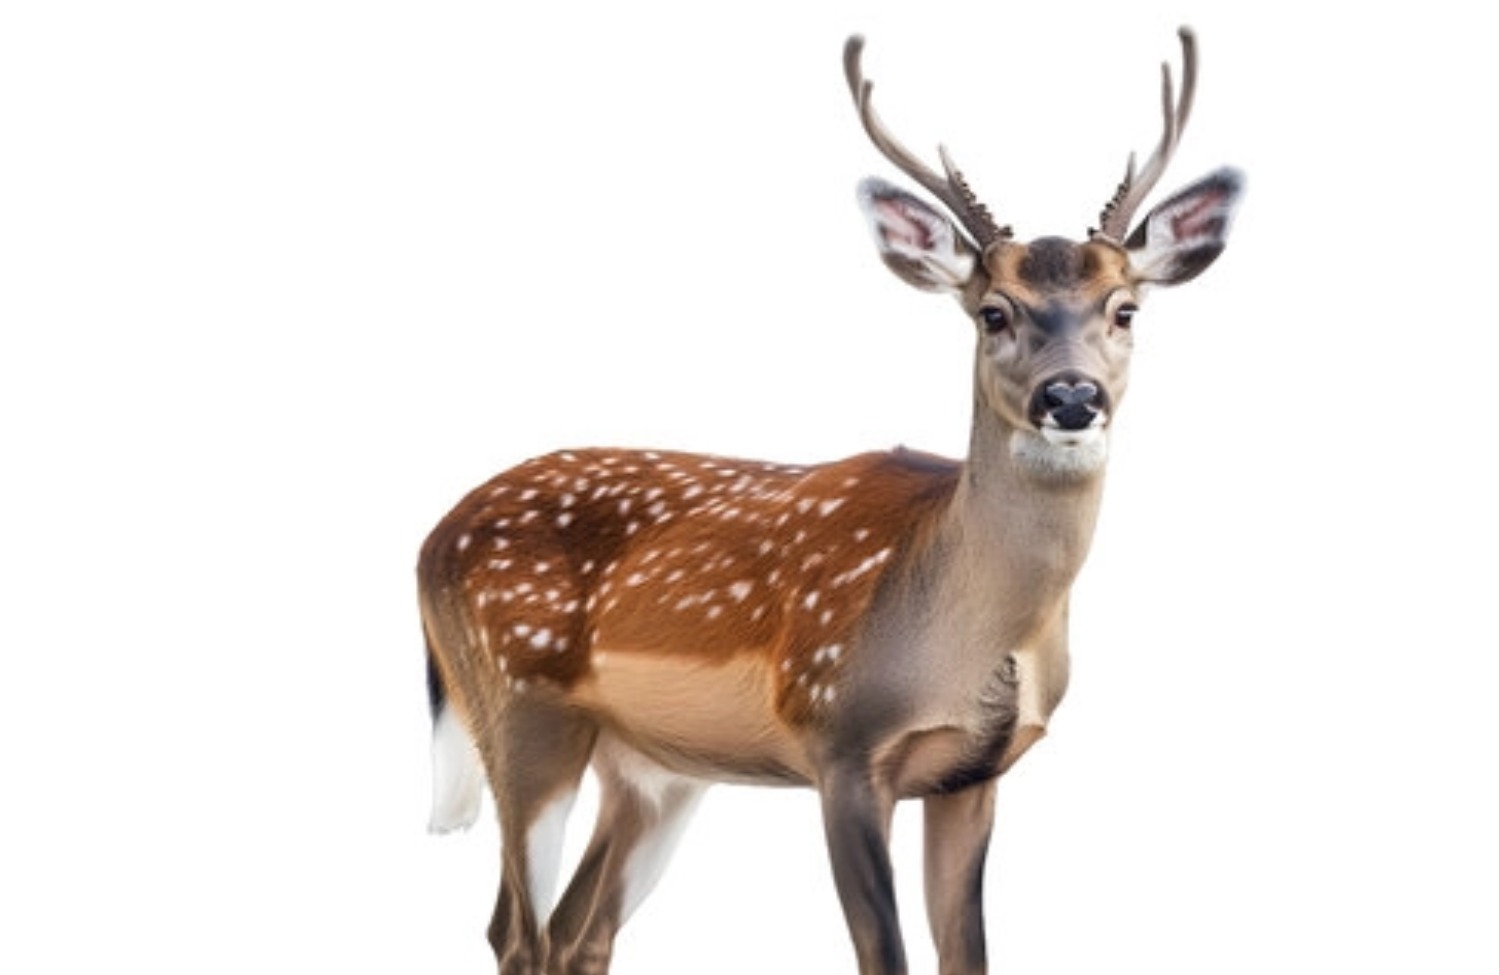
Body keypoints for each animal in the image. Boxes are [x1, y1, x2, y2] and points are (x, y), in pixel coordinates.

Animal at [418, 26, 1243, 975]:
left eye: (1125, 308)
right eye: (992, 312)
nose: (1070, 397)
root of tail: (430, 537)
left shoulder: (973, 773)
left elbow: (966, 953)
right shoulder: (840, 742)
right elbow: (882, 953)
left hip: (652, 768)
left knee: (577, 931)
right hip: (518, 703)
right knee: (514, 928)